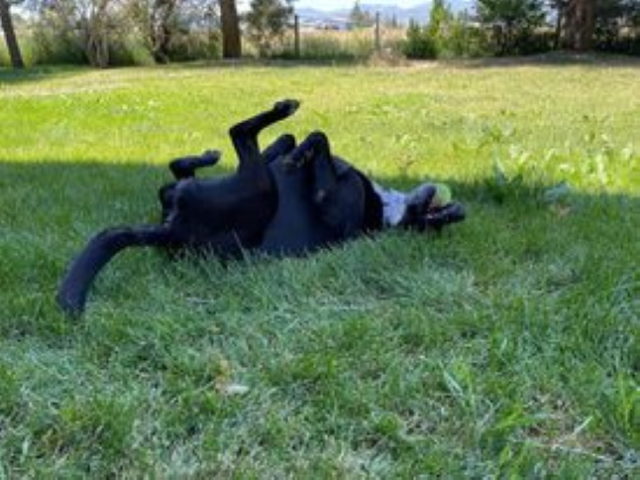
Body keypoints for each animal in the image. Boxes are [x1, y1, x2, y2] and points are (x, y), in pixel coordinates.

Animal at [57, 100, 465, 315]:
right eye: (443, 219)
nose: (458, 210)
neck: (383, 211)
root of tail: (172, 232)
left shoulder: (332, 203)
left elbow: (316, 138)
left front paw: (299, 155)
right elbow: (293, 140)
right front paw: (296, 152)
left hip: (261, 190)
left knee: (239, 134)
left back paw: (281, 110)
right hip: (220, 184)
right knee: (180, 170)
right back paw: (211, 154)